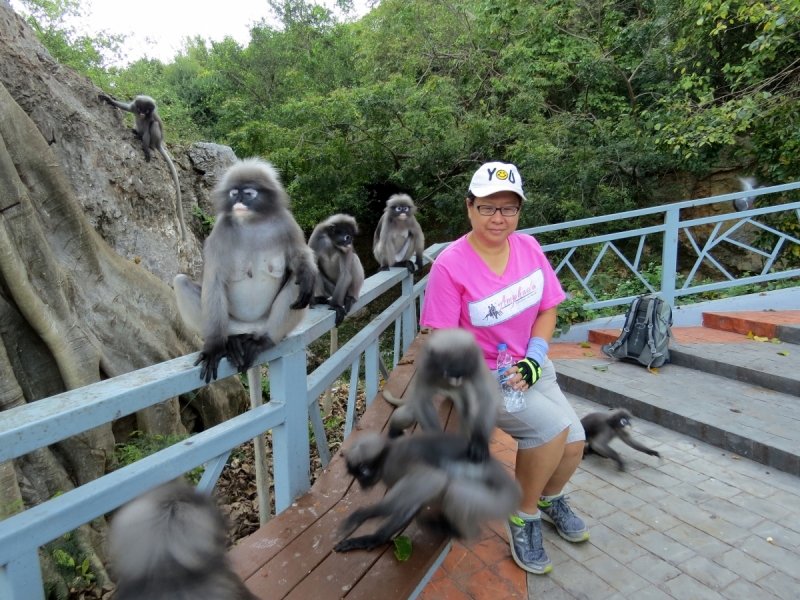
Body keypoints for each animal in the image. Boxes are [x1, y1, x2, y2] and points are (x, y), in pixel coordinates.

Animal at [99, 94, 186, 239]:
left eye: (146, 111)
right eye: (140, 109)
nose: (142, 114)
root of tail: (159, 143)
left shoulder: (150, 118)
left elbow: (148, 131)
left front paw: (145, 150)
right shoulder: (134, 108)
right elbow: (126, 107)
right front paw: (109, 99)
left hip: (155, 139)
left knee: (153, 127)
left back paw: (146, 144)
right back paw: (135, 132)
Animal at [173, 159, 318, 382]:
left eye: (248, 193)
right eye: (234, 193)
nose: (238, 202)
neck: (253, 222)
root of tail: (250, 329)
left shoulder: (287, 222)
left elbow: (300, 257)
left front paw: (308, 275)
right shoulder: (220, 230)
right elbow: (213, 281)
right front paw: (213, 348)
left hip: (265, 322)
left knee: (298, 281)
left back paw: (264, 341)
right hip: (229, 323)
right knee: (181, 282)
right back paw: (229, 342)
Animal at [334, 432, 520, 552]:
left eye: (361, 475)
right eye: (355, 476)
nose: (361, 485)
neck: (387, 453)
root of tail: (514, 491)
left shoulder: (396, 461)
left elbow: (433, 478)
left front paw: (364, 514)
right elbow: (412, 505)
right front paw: (373, 539)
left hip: (497, 502)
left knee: (456, 490)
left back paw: (456, 530)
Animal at [386, 328, 500, 464]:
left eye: (460, 374)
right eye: (450, 372)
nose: (455, 381)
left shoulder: (475, 361)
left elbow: (488, 397)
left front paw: (479, 442)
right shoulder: (428, 364)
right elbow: (422, 401)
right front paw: (437, 445)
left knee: (467, 408)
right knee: (410, 414)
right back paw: (393, 430)